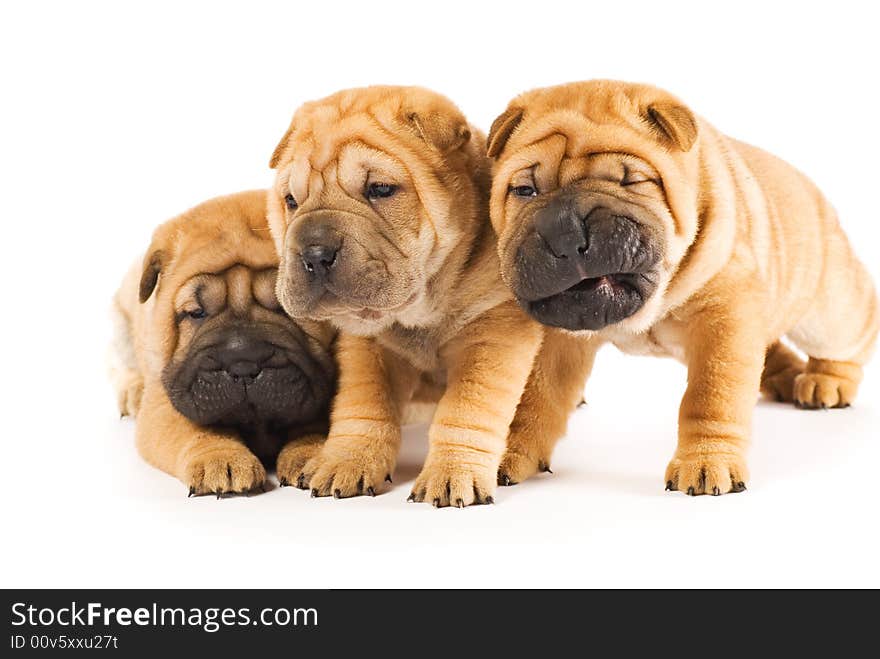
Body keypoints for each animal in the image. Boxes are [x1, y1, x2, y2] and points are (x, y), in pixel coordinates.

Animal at [111, 189, 336, 496]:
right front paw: (221, 460)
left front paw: (315, 454)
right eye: (196, 313)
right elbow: (197, 430)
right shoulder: (164, 402)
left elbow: (317, 423)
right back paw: (133, 393)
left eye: (285, 306)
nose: (243, 364)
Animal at [268, 87, 592, 508]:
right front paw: (347, 461)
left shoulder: (493, 336)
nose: (314, 253)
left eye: (380, 190)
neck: (424, 306)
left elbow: (465, 409)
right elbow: (364, 403)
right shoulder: (366, 347)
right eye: (291, 200)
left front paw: (451, 474)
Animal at [484, 78, 876, 496]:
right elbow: (534, 396)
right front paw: (507, 452)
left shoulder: (724, 317)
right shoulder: (556, 337)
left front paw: (706, 463)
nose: (566, 232)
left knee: (853, 330)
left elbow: (711, 394)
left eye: (631, 180)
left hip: (830, 306)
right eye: (525, 190)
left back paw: (825, 382)